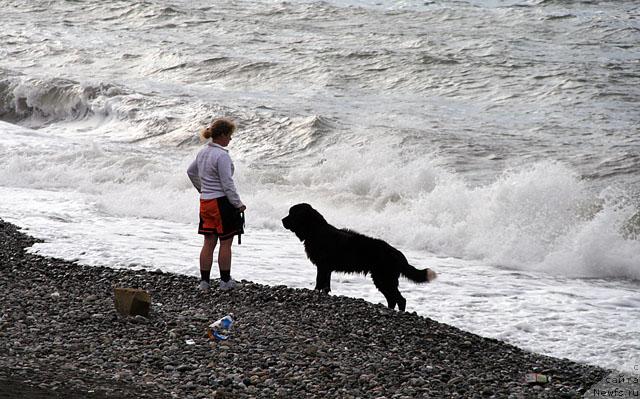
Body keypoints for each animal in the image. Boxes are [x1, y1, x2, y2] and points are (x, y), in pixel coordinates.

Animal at [282, 203, 438, 312]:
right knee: (393, 299)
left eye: (292, 214)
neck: (315, 230)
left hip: (384, 278)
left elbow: (319, 282)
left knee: (400, 299)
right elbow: (326, 285)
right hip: (383, 279)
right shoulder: (326, 268)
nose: (282, 220)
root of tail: (397, 253)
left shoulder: (323, 266)